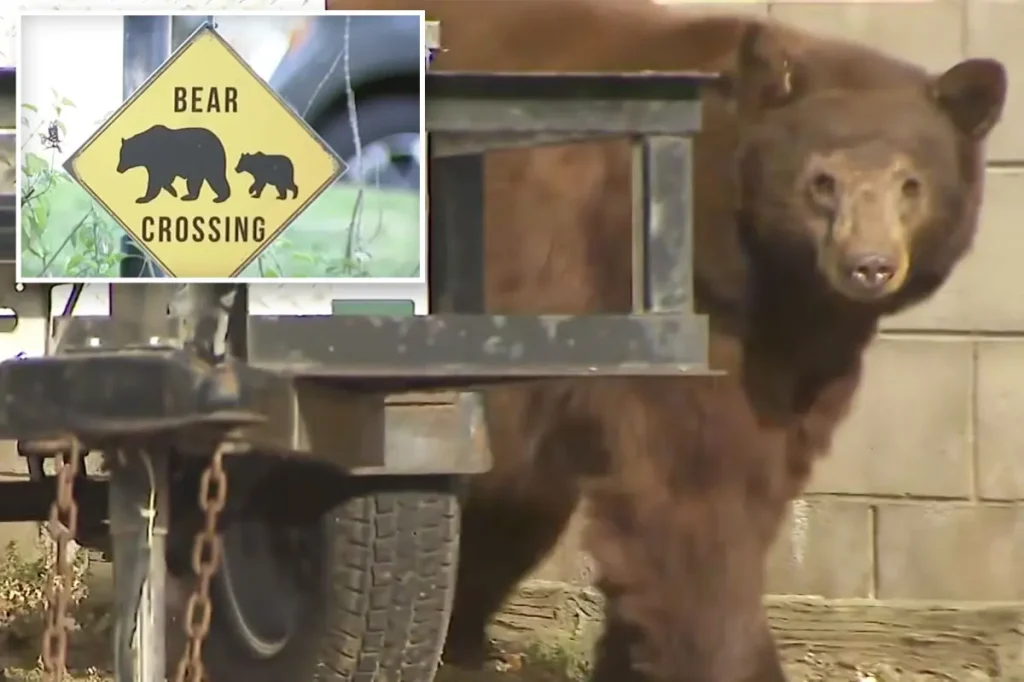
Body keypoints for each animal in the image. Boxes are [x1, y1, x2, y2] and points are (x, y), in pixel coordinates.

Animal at [327, 2, 1007, 681]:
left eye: (910, 184)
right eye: (823, 180)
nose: (869, 266)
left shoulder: (800, 355)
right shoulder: (660, 301)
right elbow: (692, 497)